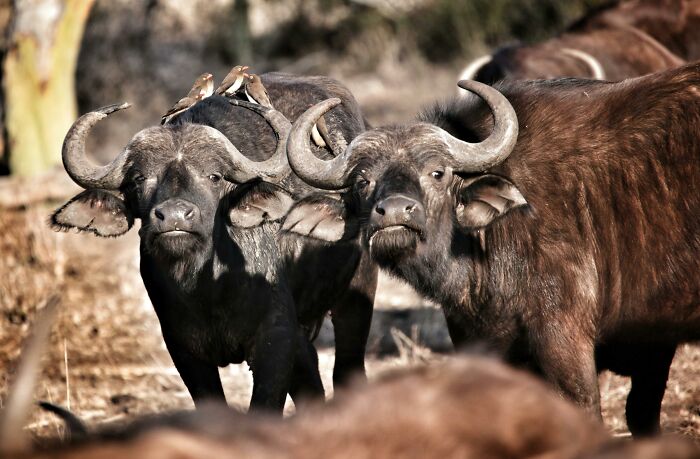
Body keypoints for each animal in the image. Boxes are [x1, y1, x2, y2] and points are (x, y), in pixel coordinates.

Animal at [50, 74, 378, 414]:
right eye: (139, 178)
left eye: (214, 176)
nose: (174, 216)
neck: (208, 288)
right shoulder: (183, 350)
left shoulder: (276, 340)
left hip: (358, 290)